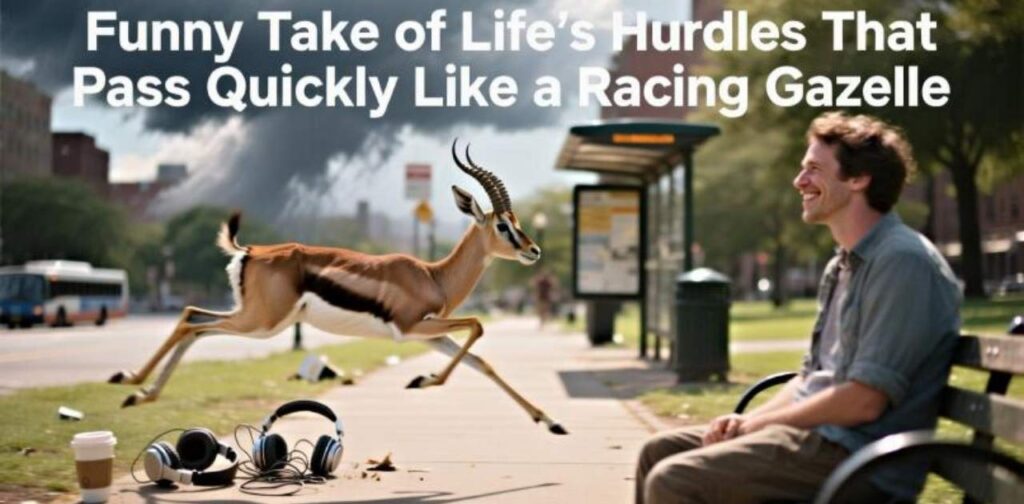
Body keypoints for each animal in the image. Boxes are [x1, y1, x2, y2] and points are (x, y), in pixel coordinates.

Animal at [108, 140, 567, 434]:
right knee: (193, 323)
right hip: (262, 323)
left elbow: (483, 363)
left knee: (191, 317)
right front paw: (421, 380)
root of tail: (250, 250)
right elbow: (477, 326)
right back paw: (130, 385)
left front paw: (551, 422)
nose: (534, 250)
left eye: (519, 222)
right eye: (503, 225)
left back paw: (136, 389)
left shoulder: (432, 334)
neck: (433, 276)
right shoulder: (414, 327)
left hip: (256, 318)